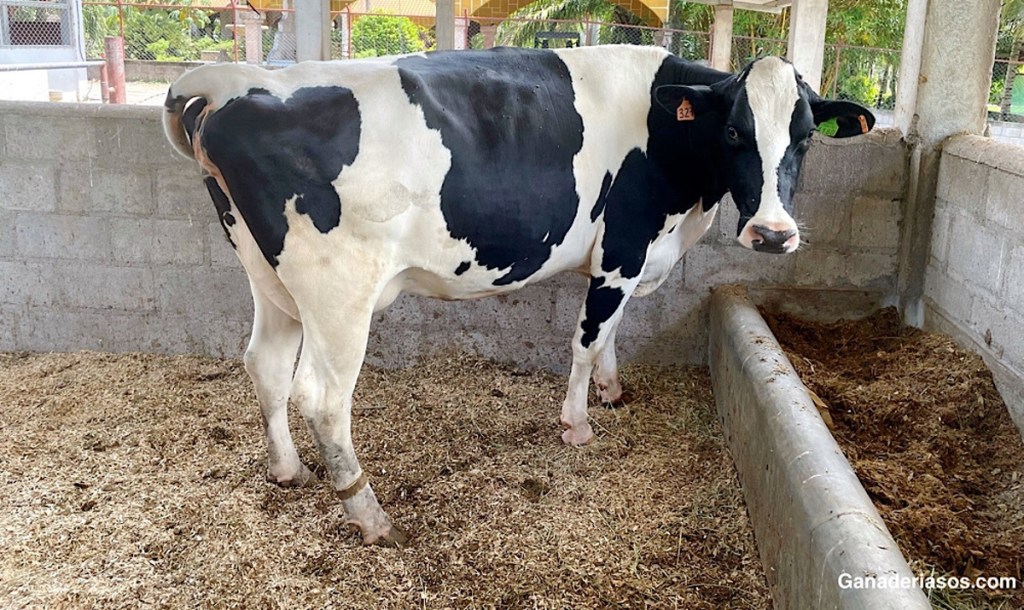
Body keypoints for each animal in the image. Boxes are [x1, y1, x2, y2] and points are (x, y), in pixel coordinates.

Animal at [163, 45, 874, 546]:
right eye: (734, 134)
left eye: (805, 136)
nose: (774, 234)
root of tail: (234, 84)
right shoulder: (623, 248)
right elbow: (587, 339)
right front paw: (578, 423)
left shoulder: (622, 257)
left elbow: (610, 334)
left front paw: (613, 392)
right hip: (338, 290)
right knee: (321, 396)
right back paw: (370, 516)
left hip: (270, 277)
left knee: (264, 364)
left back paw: (288, 470)